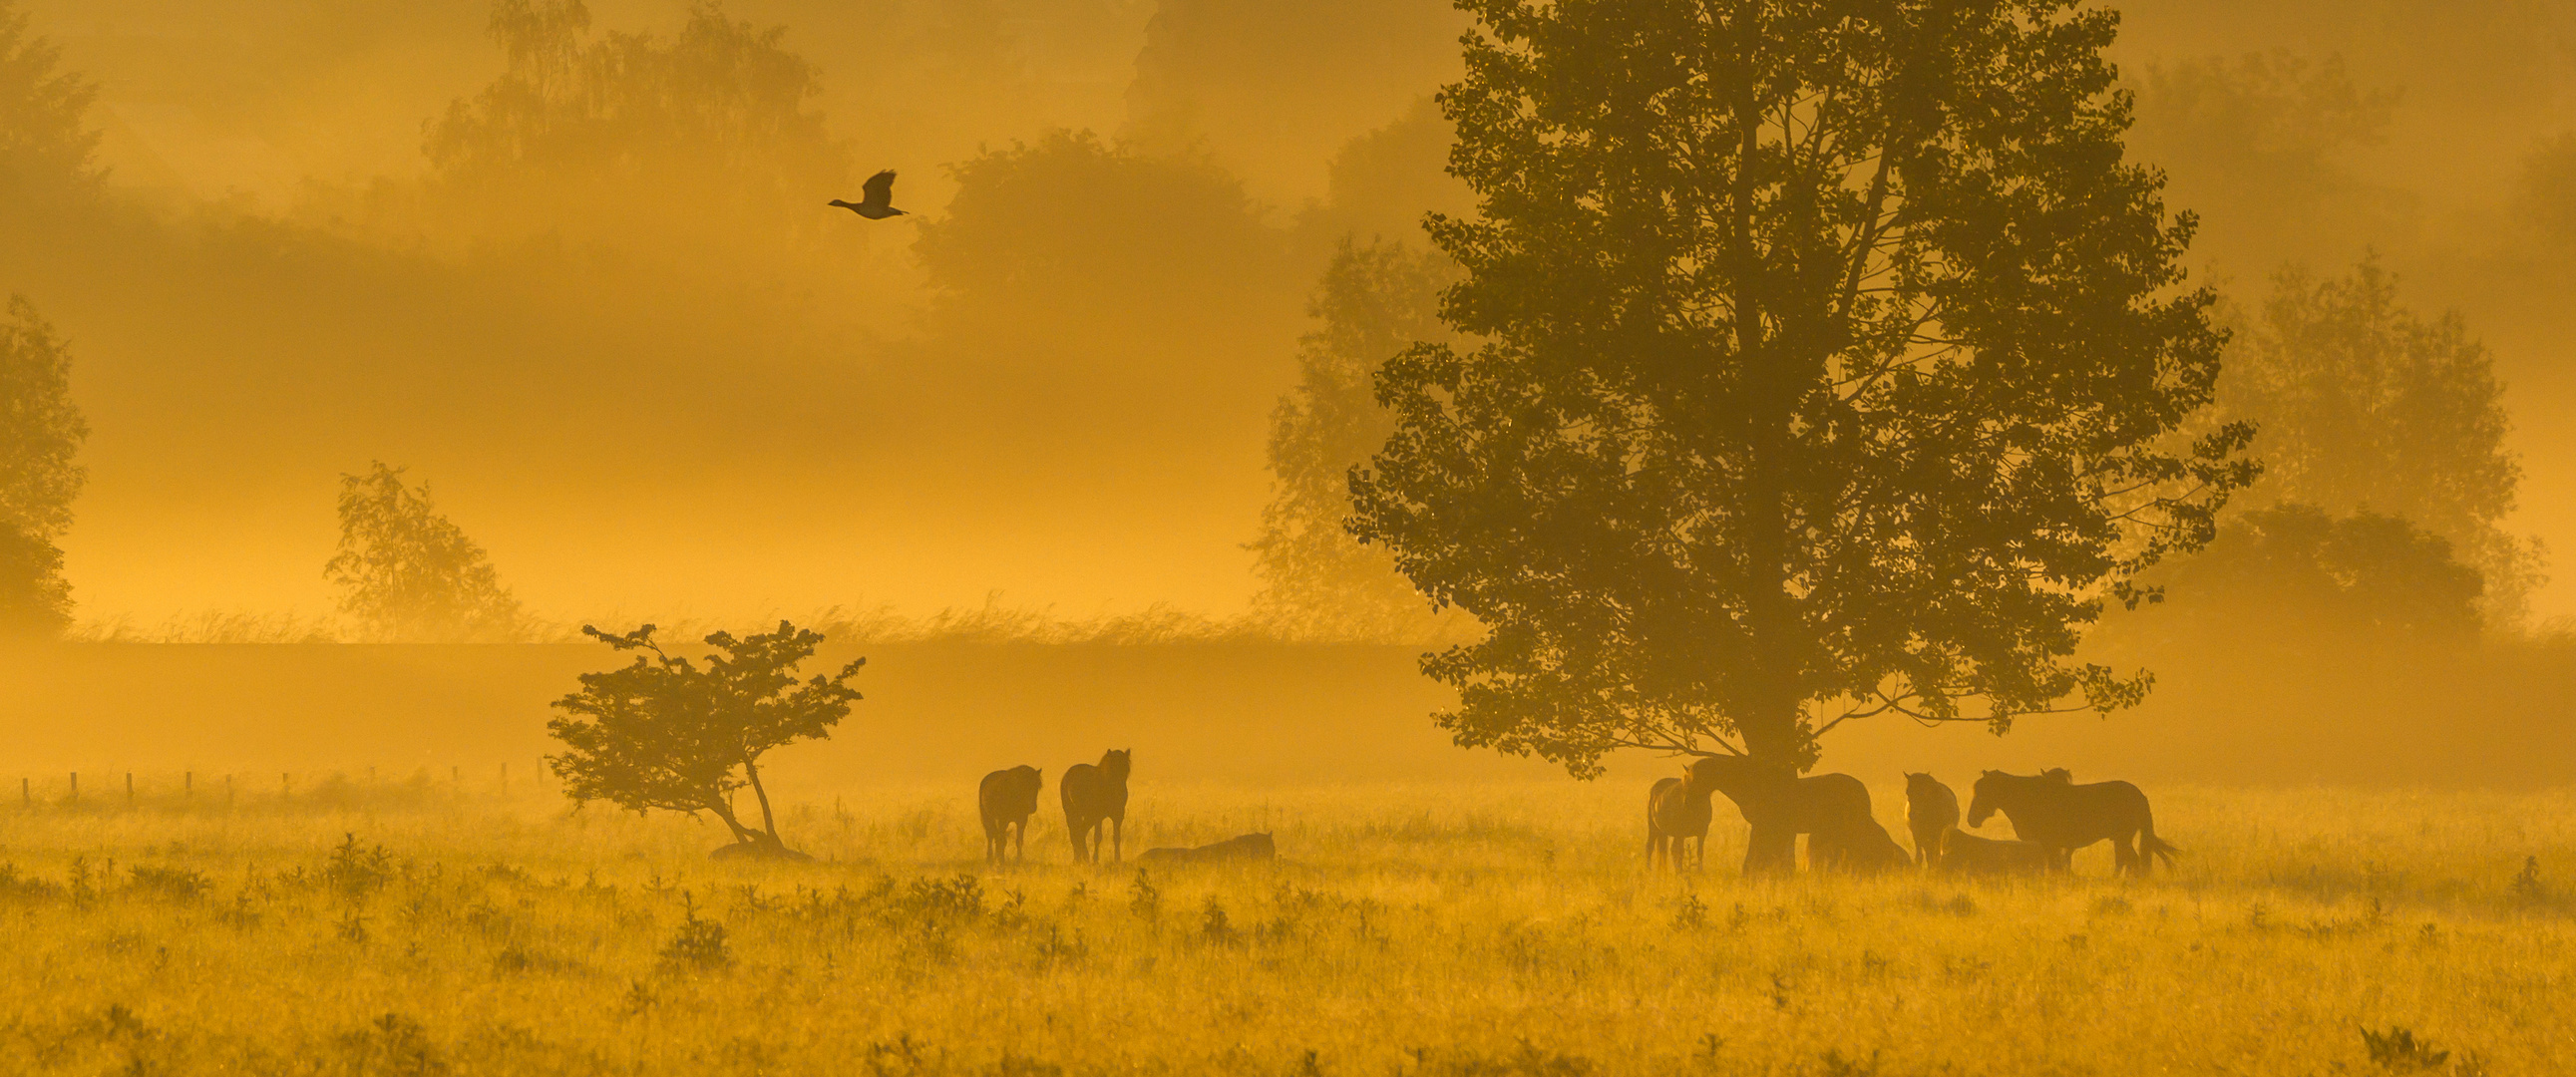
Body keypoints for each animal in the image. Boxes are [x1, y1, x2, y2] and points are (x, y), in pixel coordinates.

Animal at [1958, 767, 2184, 881]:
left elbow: (2054, 867)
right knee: (2125, 861)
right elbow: (2056, 867)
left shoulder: (2049, 844)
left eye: (1983, 791)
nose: (1972, 819)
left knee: (2132, 862)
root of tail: (2139, 795)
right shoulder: (2051, 846)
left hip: (2123, 837)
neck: (2030, 797)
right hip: (2121, 839)